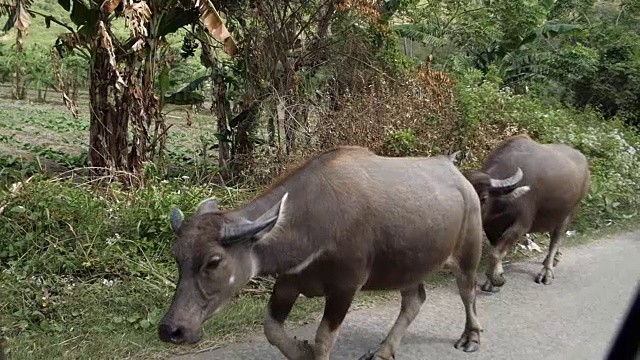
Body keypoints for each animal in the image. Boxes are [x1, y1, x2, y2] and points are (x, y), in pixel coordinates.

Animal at [156, 146, 524, 360]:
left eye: (214, 261)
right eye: (177, 256)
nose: (171, 330)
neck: (315, 220)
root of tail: (461, 180)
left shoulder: (346, 287)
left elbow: (323, 340)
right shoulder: (289, 282)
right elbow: (271, 329)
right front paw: (299, 350)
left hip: (467, 251)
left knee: (467, 291)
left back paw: (471, 337)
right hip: (408, 265)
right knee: (415, 300)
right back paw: (383, 351)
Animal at [462, 135, 588, 292]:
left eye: (483, 197)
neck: (502, 202)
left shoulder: (521, 225)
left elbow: (495, 253)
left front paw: (497, 279)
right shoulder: (490, 226)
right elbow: (495, 250)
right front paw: (493, 279)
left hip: (568, 213)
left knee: (556, 239)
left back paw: (547, 271)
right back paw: (555, 259)